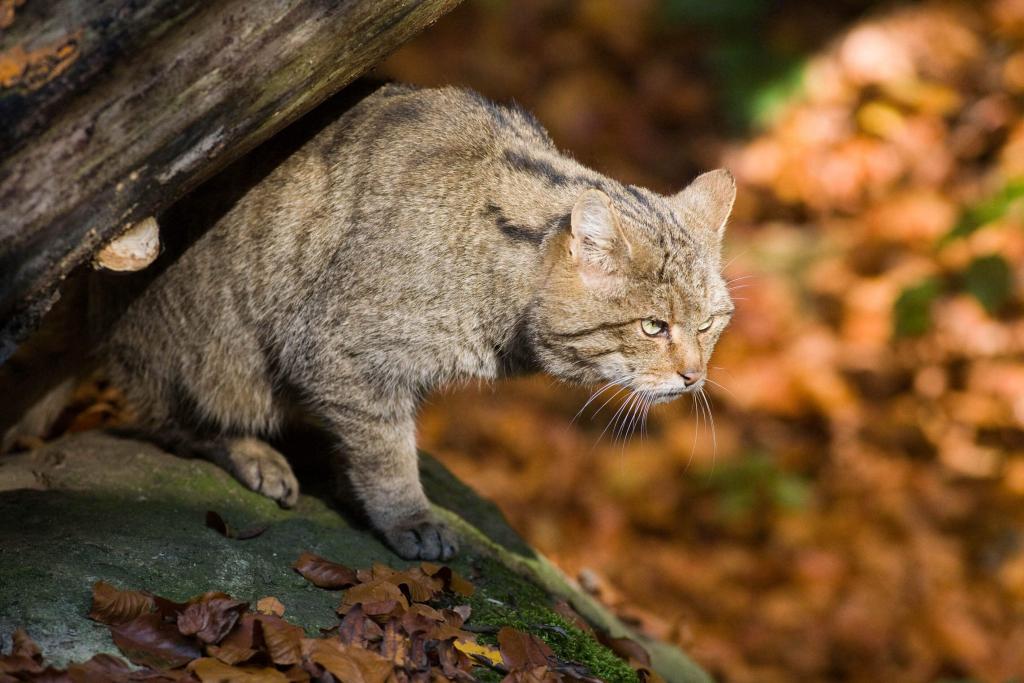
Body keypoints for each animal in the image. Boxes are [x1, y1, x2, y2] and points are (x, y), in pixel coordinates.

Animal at [9, 82, 729, 561]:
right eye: (653, 327)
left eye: (711, 324)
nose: (695, 377)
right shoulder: (341, 353)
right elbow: (387, 450)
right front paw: (408, 515)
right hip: (210, 353)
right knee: (168, 417)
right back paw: (252, 451)